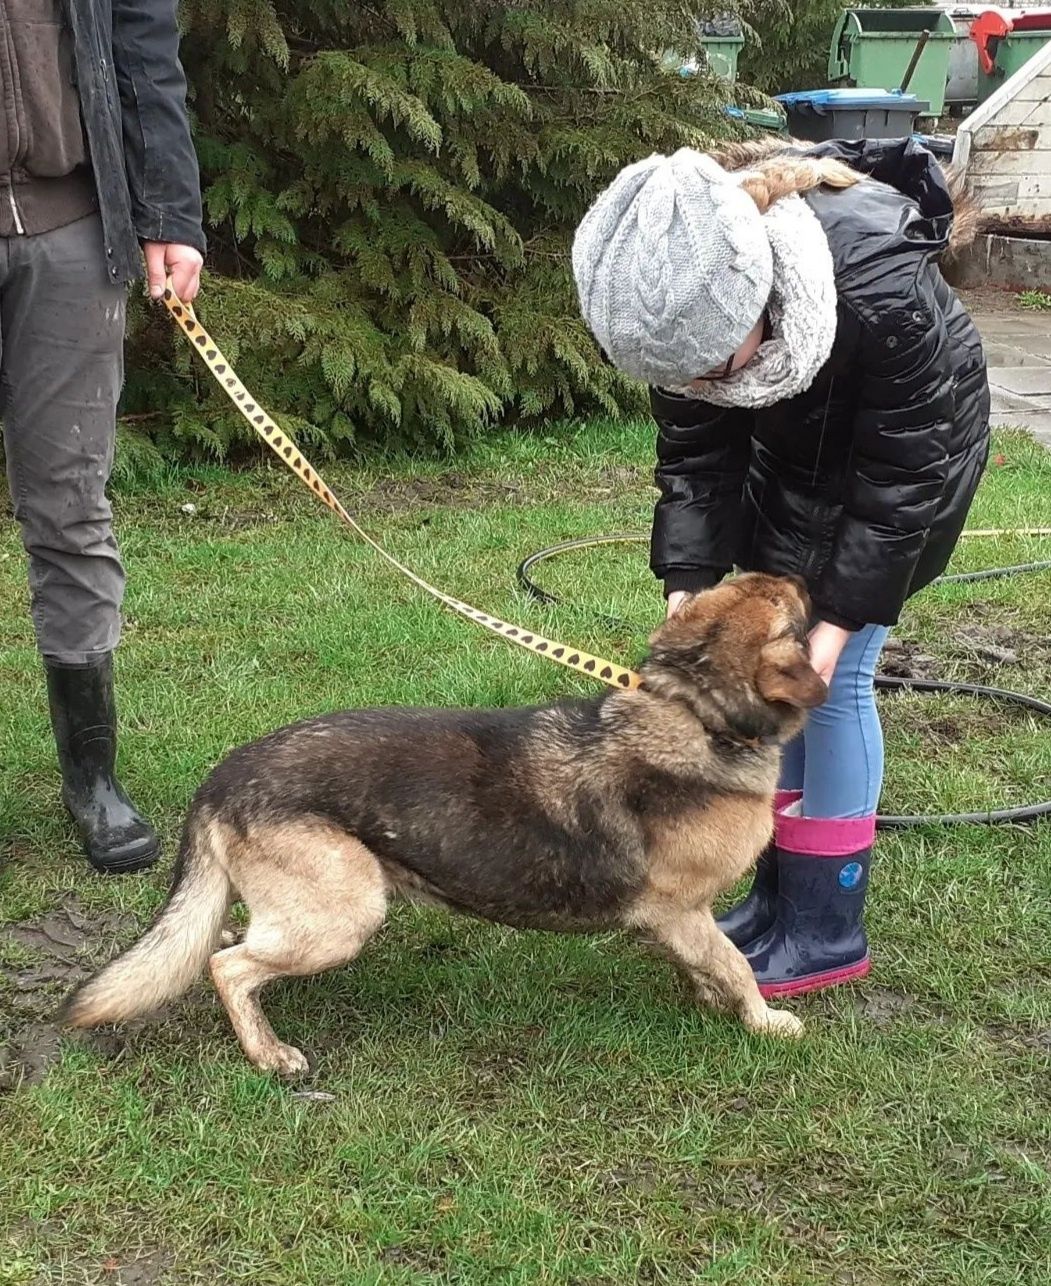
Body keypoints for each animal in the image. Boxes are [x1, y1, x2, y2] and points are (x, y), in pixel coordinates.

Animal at [65, 573, 828, 1075]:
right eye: (790, 606)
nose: (802, 572)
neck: (690, 710)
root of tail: (222, 778)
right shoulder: (681, 911)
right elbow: (734, 965)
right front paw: (764, 1021)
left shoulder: (681, 922)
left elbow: (708, 965)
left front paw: (710, 1001)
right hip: (344, 915)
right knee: (226, 968)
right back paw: (268, 1053)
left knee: (225, 942)